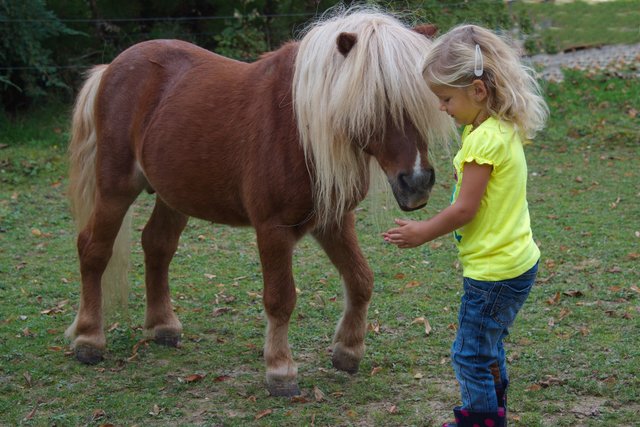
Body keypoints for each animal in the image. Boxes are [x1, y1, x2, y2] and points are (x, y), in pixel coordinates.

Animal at [65, 5, 452, 398]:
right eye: (371, 101)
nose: (417, 182)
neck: (300, 128)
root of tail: (112, 67)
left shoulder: (334, 221)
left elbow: (361, 279)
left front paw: (347, 351)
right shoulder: (273, 229)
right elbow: (281, 299)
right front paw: (281, 371)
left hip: (174, 196)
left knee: (157, 245)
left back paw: (163, 326)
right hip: (115, 189)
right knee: (93, 250)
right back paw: (88, 339)